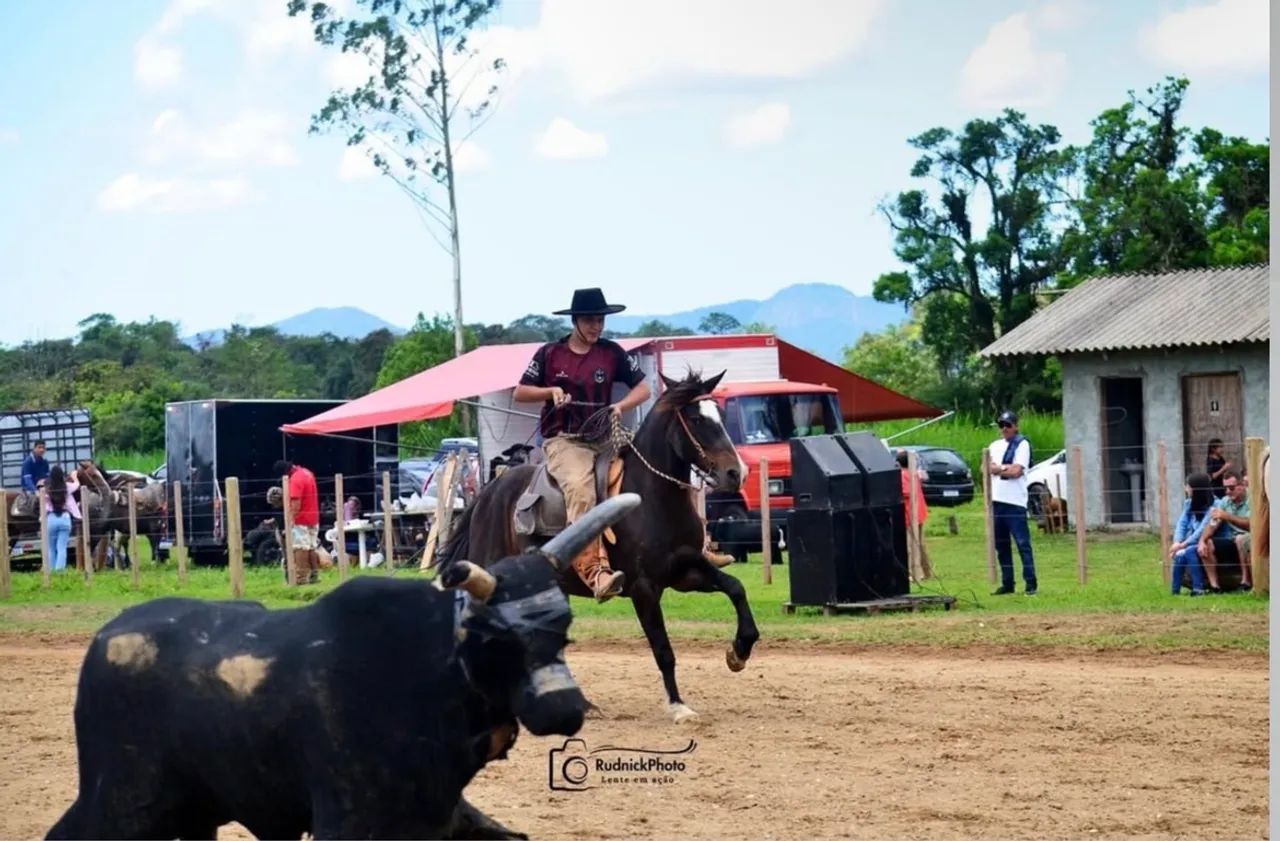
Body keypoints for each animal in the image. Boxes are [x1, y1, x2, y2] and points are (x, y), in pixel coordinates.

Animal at [439, 370, 759, 724]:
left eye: (720, 416)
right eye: (696, 419)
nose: (736, 473)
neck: (654, 498)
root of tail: (489, 492)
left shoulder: (686, 572)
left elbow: (736, 587)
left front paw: (739, 651)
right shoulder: (644, 588)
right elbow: (663, 649)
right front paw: (678, 706)